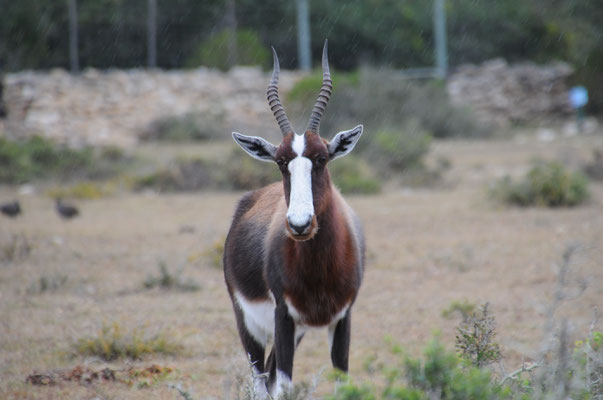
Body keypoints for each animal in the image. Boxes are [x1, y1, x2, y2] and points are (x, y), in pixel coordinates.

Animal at [224, 40, 366, 396]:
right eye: (280, 161)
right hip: (251, 326)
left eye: (322, 157)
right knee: (262, 384)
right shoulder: (283, 316)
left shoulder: (342, 318)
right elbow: (284, 388)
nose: (300, 224)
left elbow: (342, 384)